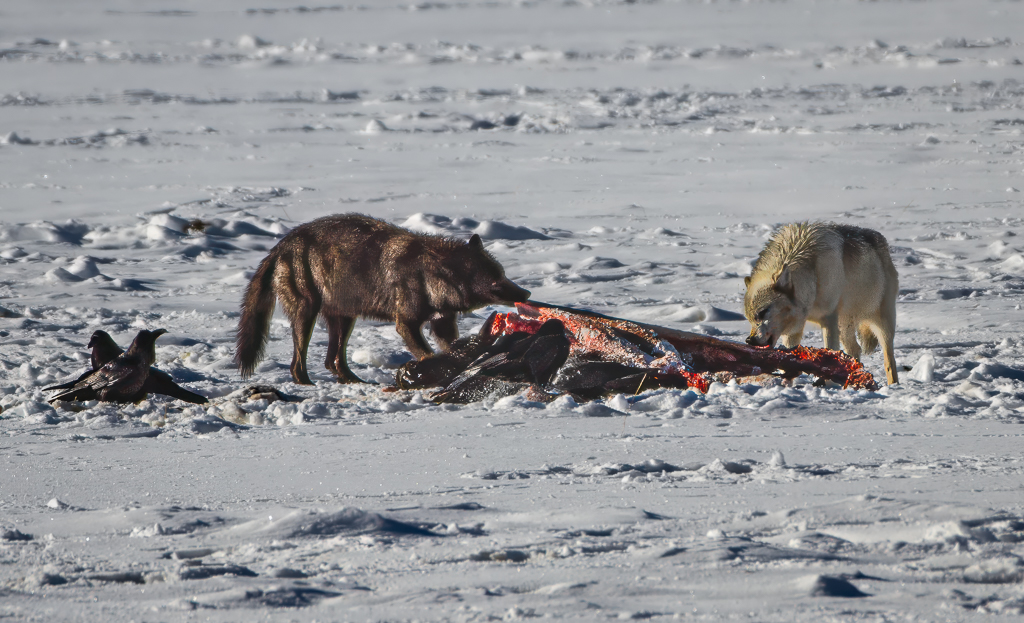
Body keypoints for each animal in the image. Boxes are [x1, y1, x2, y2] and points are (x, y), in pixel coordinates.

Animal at [234, 214, 532, 385]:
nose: (526, 294)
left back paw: (355, 381)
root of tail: (280, 246)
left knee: (333, 361)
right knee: (298, 364)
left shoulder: (442, 322)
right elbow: (426, 353)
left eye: (504, 274)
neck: (427, 276)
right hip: (308, 315)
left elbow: (450, 347)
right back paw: (307, 384)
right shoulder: (406, 323)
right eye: (496, 283)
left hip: (345, 318)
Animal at [745, 219, 897, 385]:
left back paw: (893, 384)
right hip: (845, 326)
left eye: (763, 312)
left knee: (889, 360)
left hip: (881, 324)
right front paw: (786, 386)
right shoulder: (794, 330)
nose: (750, 340)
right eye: (749, 318)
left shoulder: (828, 320)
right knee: (854, 349)